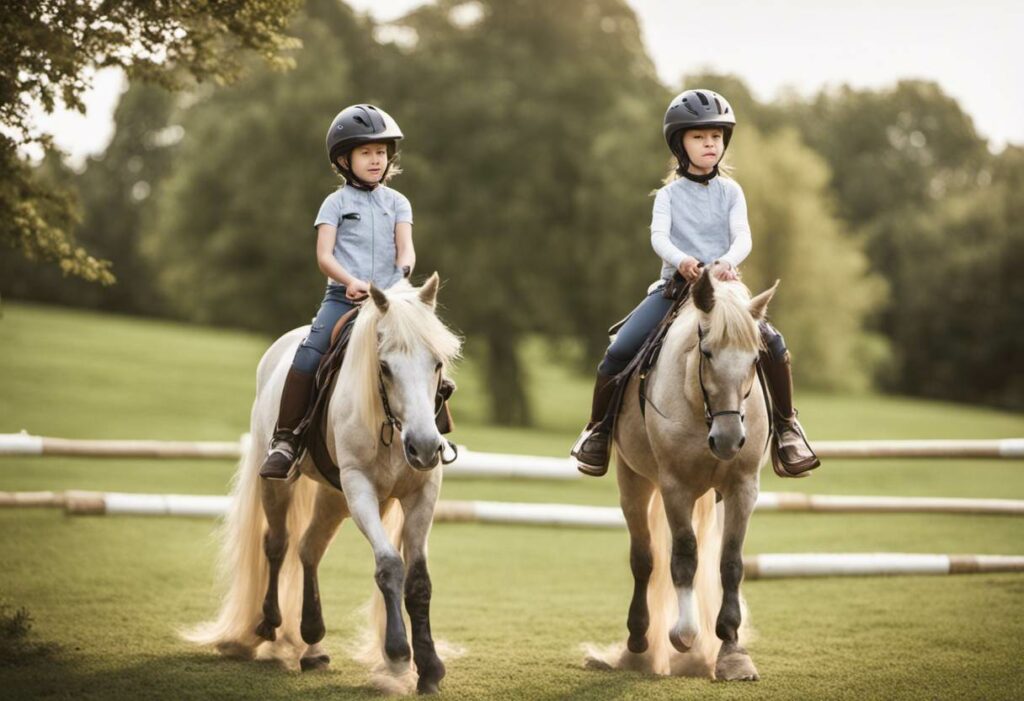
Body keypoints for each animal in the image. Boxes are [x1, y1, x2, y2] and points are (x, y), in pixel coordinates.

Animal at [186, 274, 462, 695]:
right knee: (277, 544)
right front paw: (398, 656)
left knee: (309, 549)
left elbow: (418, 581)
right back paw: (268, 624)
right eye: (384, 367)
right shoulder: (359, 487)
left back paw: (313, 643)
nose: (425, 446)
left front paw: (429, 668)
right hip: (280, 485)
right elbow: (389, 565)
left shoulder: (421, 494)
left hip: (334, 498)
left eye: (437, 364)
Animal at [585, 266, 774, 679]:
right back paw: (638, 643)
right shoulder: (676, 487)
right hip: (633, 481)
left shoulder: (743, 487)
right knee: (644, 559)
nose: (729, 439)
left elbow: (730, 562)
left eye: (756, 358)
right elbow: (684, 555)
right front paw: (685, 633)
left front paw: (731, 650)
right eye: (707, 352)